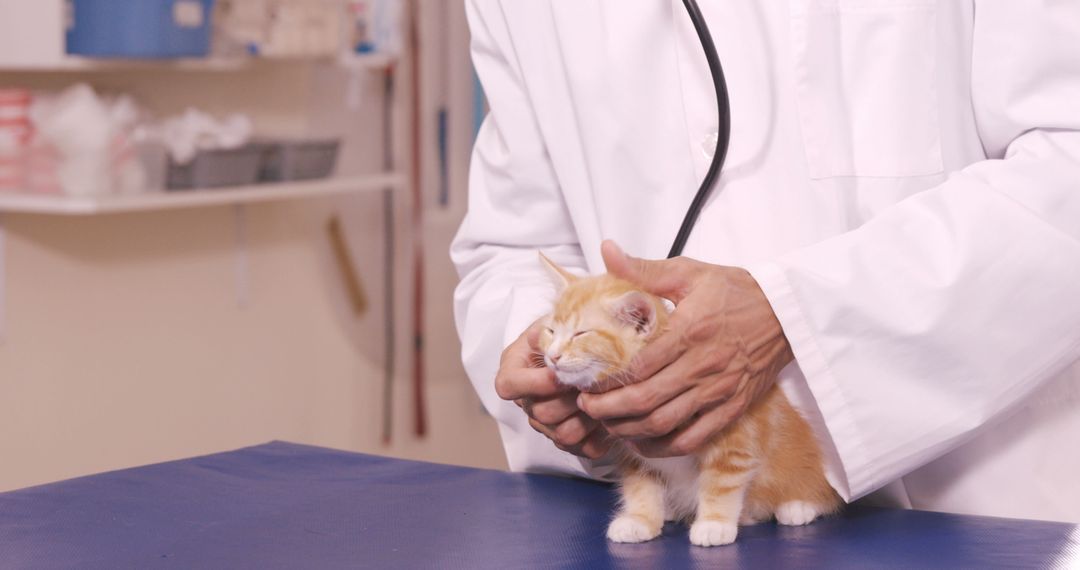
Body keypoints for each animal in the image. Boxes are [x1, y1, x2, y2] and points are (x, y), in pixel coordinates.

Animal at [535, 253, 838, 548]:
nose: (552, 356)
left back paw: (798, 506)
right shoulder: (633, 453)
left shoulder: (734, 439)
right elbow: (640, 485)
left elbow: (722, 481)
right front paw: (641, 518)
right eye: (551, 332)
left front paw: (715, 524)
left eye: (580, 334)